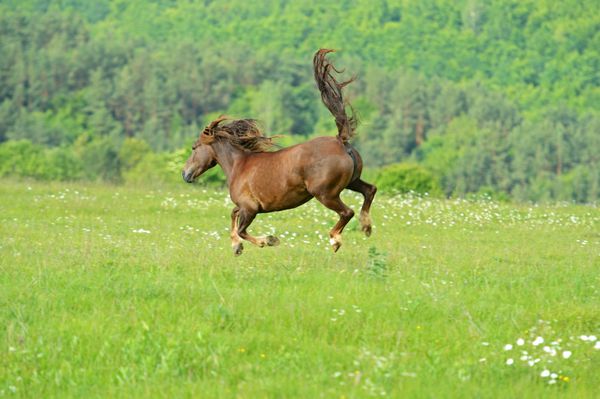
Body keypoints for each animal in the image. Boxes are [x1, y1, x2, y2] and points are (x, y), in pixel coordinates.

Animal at [182, 49, 376, 256]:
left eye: (194, 147)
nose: (185, 174)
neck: (238, 165)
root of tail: (341, 141)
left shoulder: (250, 208)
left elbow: (242, 229)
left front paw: (268, 240)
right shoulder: (245, 207)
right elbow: (233, 215)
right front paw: (236, 246)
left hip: (325, 194)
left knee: (347, 212)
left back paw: (335, 240)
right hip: (351, 182)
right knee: (370, 190)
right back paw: (366, 226)